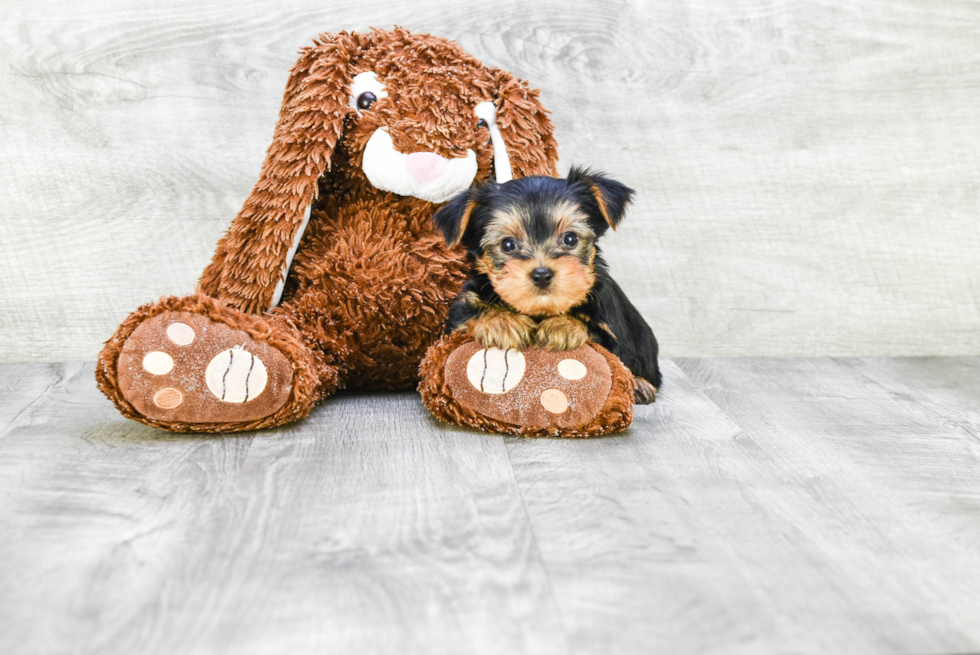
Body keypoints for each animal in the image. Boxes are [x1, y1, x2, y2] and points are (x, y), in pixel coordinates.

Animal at [432, 167, 664, 402]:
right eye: (508, 244)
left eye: (570, 239)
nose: (542, 274)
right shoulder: (459, 314)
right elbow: (467, 316)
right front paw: (501, 322)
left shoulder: (610, 332)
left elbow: (600, 339)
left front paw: (563, 326)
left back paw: (640, 385)